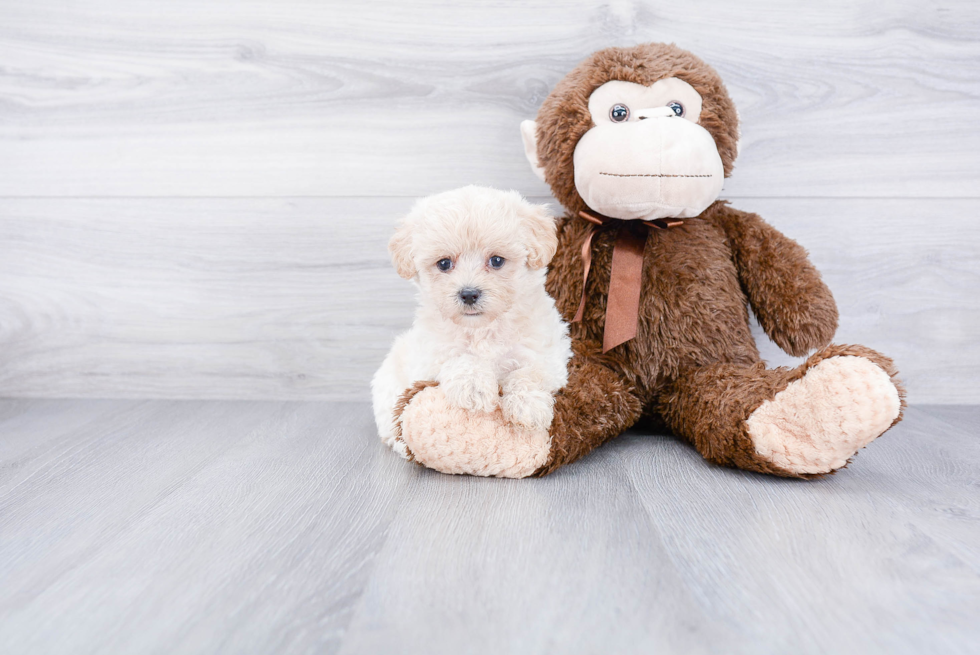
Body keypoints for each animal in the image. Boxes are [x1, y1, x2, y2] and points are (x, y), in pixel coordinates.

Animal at [376, 186, 576, 462]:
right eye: (444, 263)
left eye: (497, 261)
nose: (469, 294)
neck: (483, 329)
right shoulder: (429, 357)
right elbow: (459, 359)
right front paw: (474, 387)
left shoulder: (549, 354)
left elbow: (530, 372)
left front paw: (528, 407)